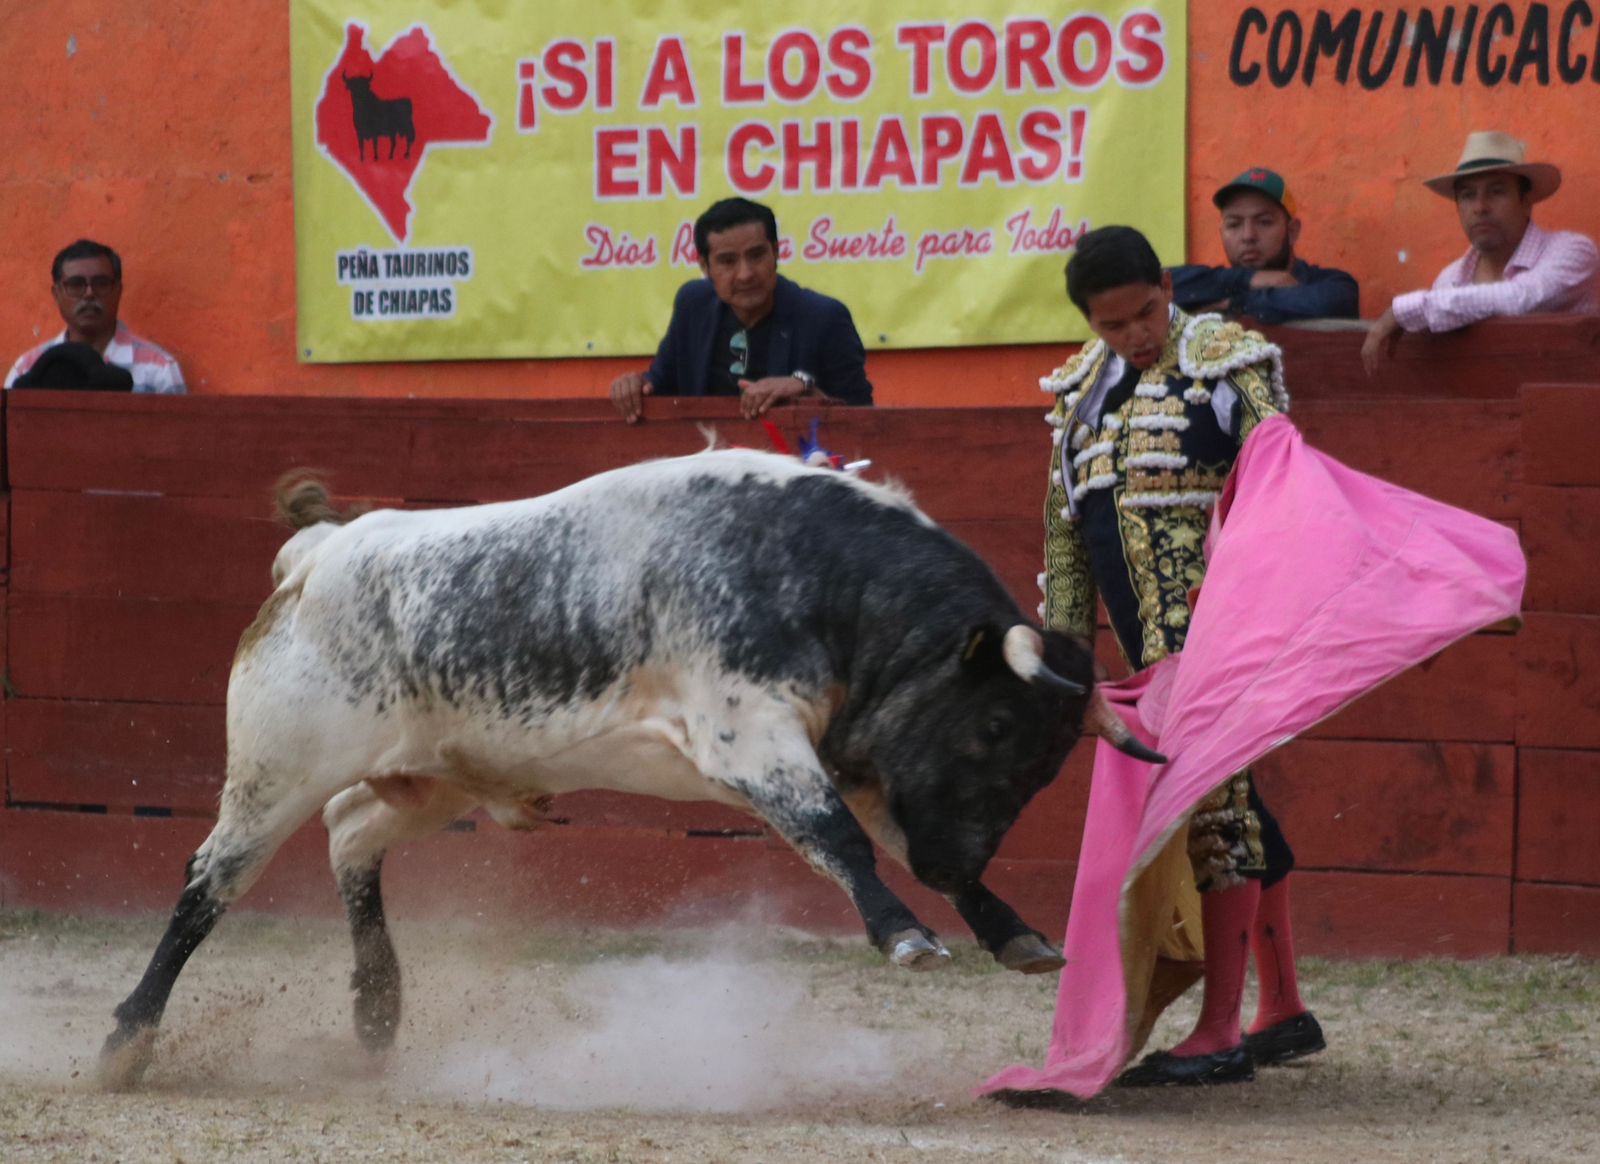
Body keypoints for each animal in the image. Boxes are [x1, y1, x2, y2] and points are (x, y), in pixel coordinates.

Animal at [100, 450, 1158, 1087]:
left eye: (1050, 766)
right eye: (992, 727)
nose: (949, 863)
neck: (826, 582)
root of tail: (318, 556)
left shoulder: (872, 761)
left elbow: (880, 841)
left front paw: (1013, 932)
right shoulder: (753, 736)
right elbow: (837, 841)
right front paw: (908, 935)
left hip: (436, 776)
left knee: (351, 834)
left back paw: (378, 1010)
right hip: (277, 767)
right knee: (211, 881)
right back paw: (125, 1042)